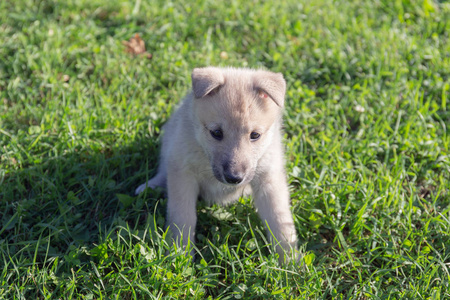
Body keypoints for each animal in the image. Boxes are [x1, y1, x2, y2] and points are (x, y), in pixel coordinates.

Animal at [137, 67, 298, 262]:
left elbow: (280, 219)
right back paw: (150, 186)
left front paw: (289, 259)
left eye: (255, 135)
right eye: (216, 133)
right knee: (162, 170)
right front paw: (180, 255)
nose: (234, 178)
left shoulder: (269, 179)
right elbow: (183, 217)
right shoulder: (182, 173)